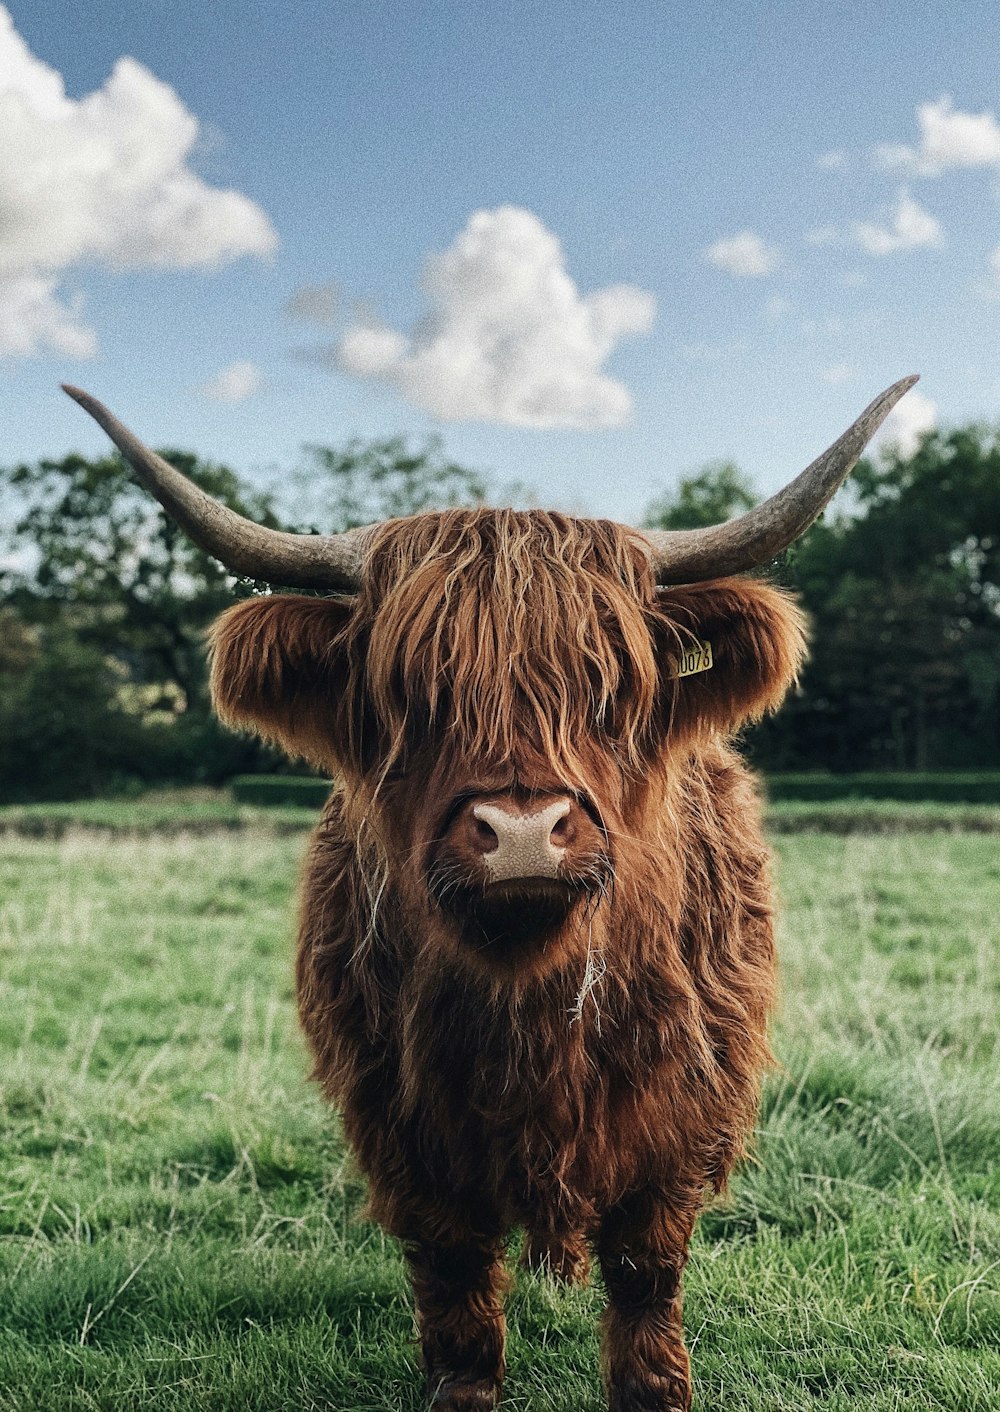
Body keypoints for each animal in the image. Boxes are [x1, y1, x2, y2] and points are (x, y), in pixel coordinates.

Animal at [66, 375, 915, 1412]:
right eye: (410, 693)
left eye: (610, 687)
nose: (520, 834)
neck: (529, 1003)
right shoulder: (403, 1126)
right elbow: (457, 1286)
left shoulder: (683, 1115)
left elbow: (645, 1274)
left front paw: (655, 1389)